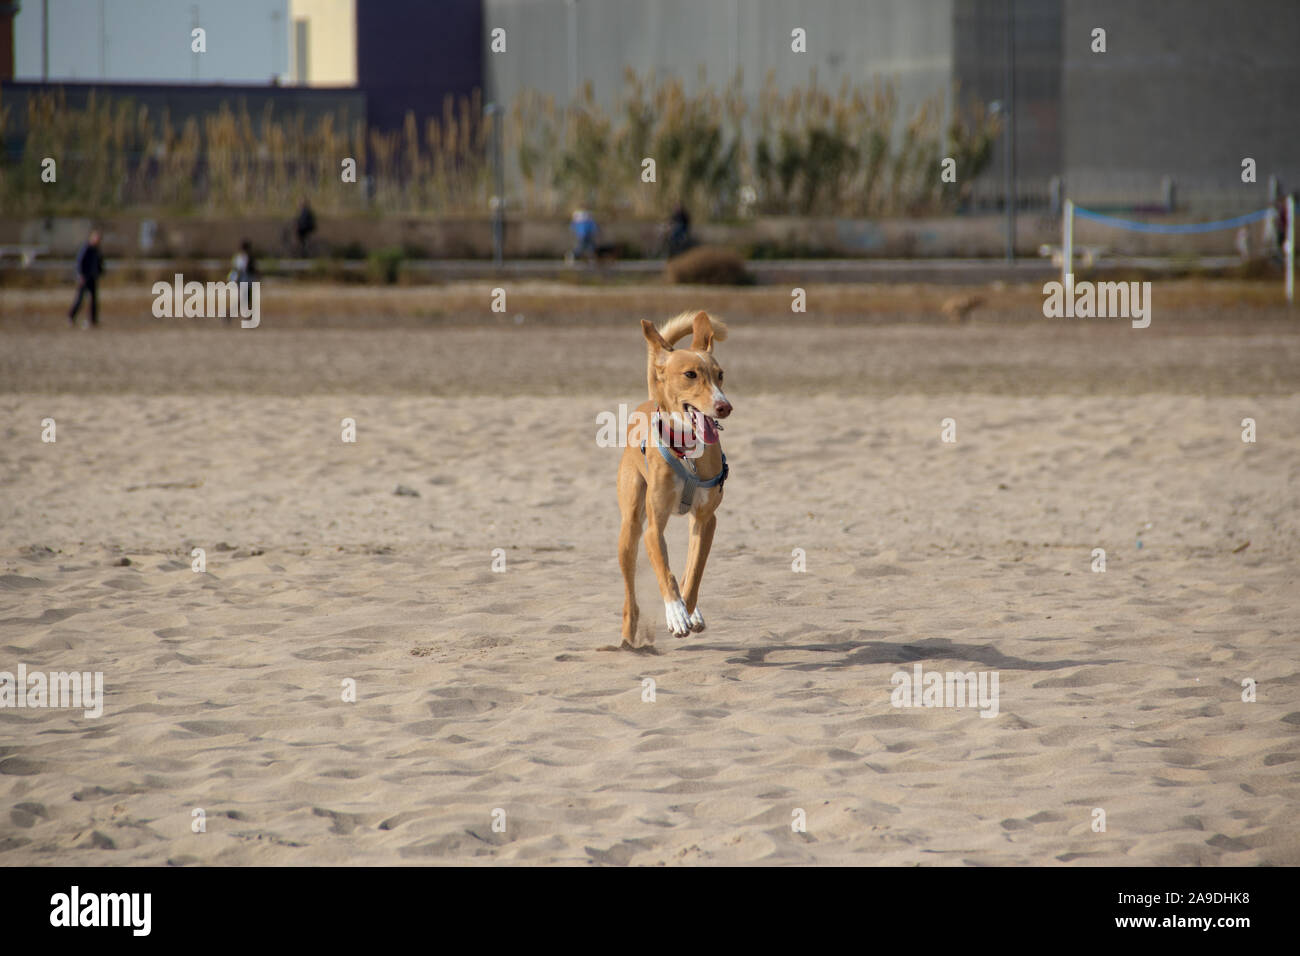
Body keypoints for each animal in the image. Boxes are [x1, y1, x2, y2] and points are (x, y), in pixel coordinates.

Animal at [616, 310, 733, 647]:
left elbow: (692, 573)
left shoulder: (706, 521)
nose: (724, 406)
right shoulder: (653, 529)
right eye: (690, 374)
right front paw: (675, 613)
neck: (687, 451)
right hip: (630, 530)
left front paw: (689, 612)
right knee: (630, 600)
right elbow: (665, 574)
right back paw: (628, 640)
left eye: (720, 375)